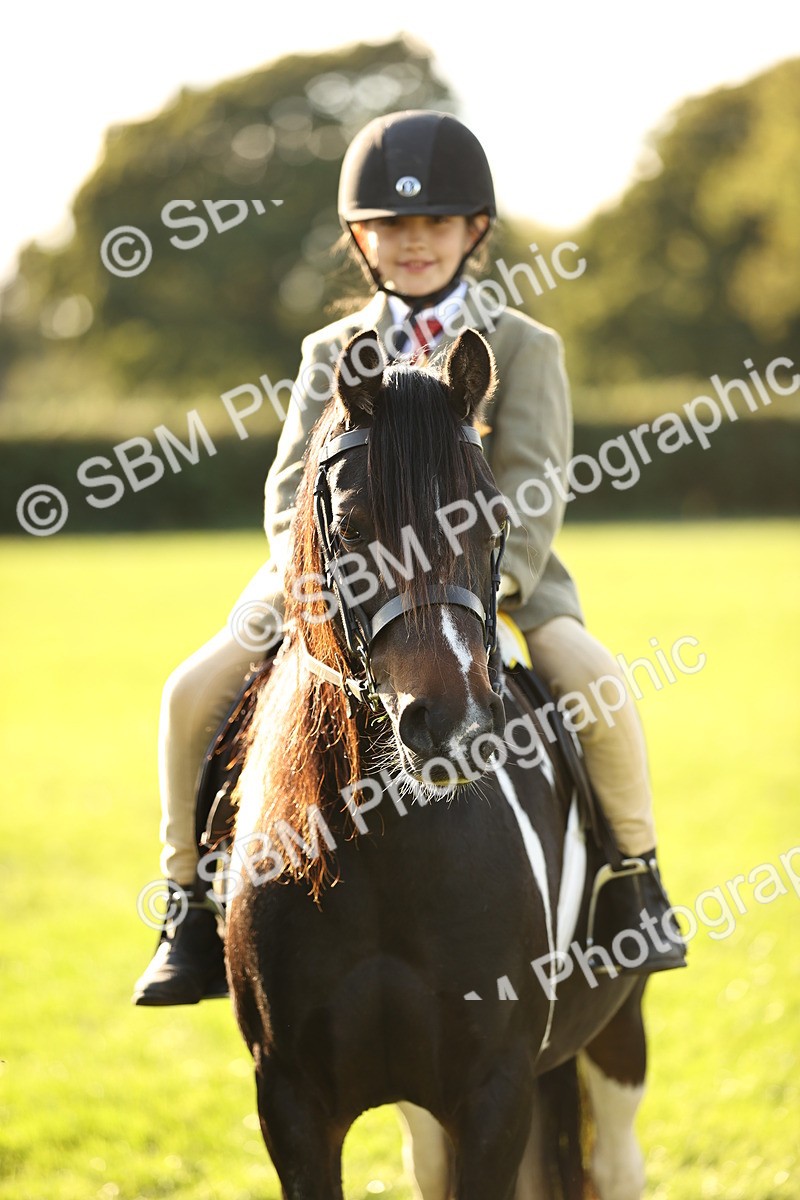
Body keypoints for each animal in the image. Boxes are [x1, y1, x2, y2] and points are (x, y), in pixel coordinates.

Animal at [223, 328, 649, 1199]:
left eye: (494, 520)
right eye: (353, 528)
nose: (454, 725)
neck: (387, 848)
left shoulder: (494, 1088)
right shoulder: (290, 1099)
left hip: (618, 1029)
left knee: (620, 1161)